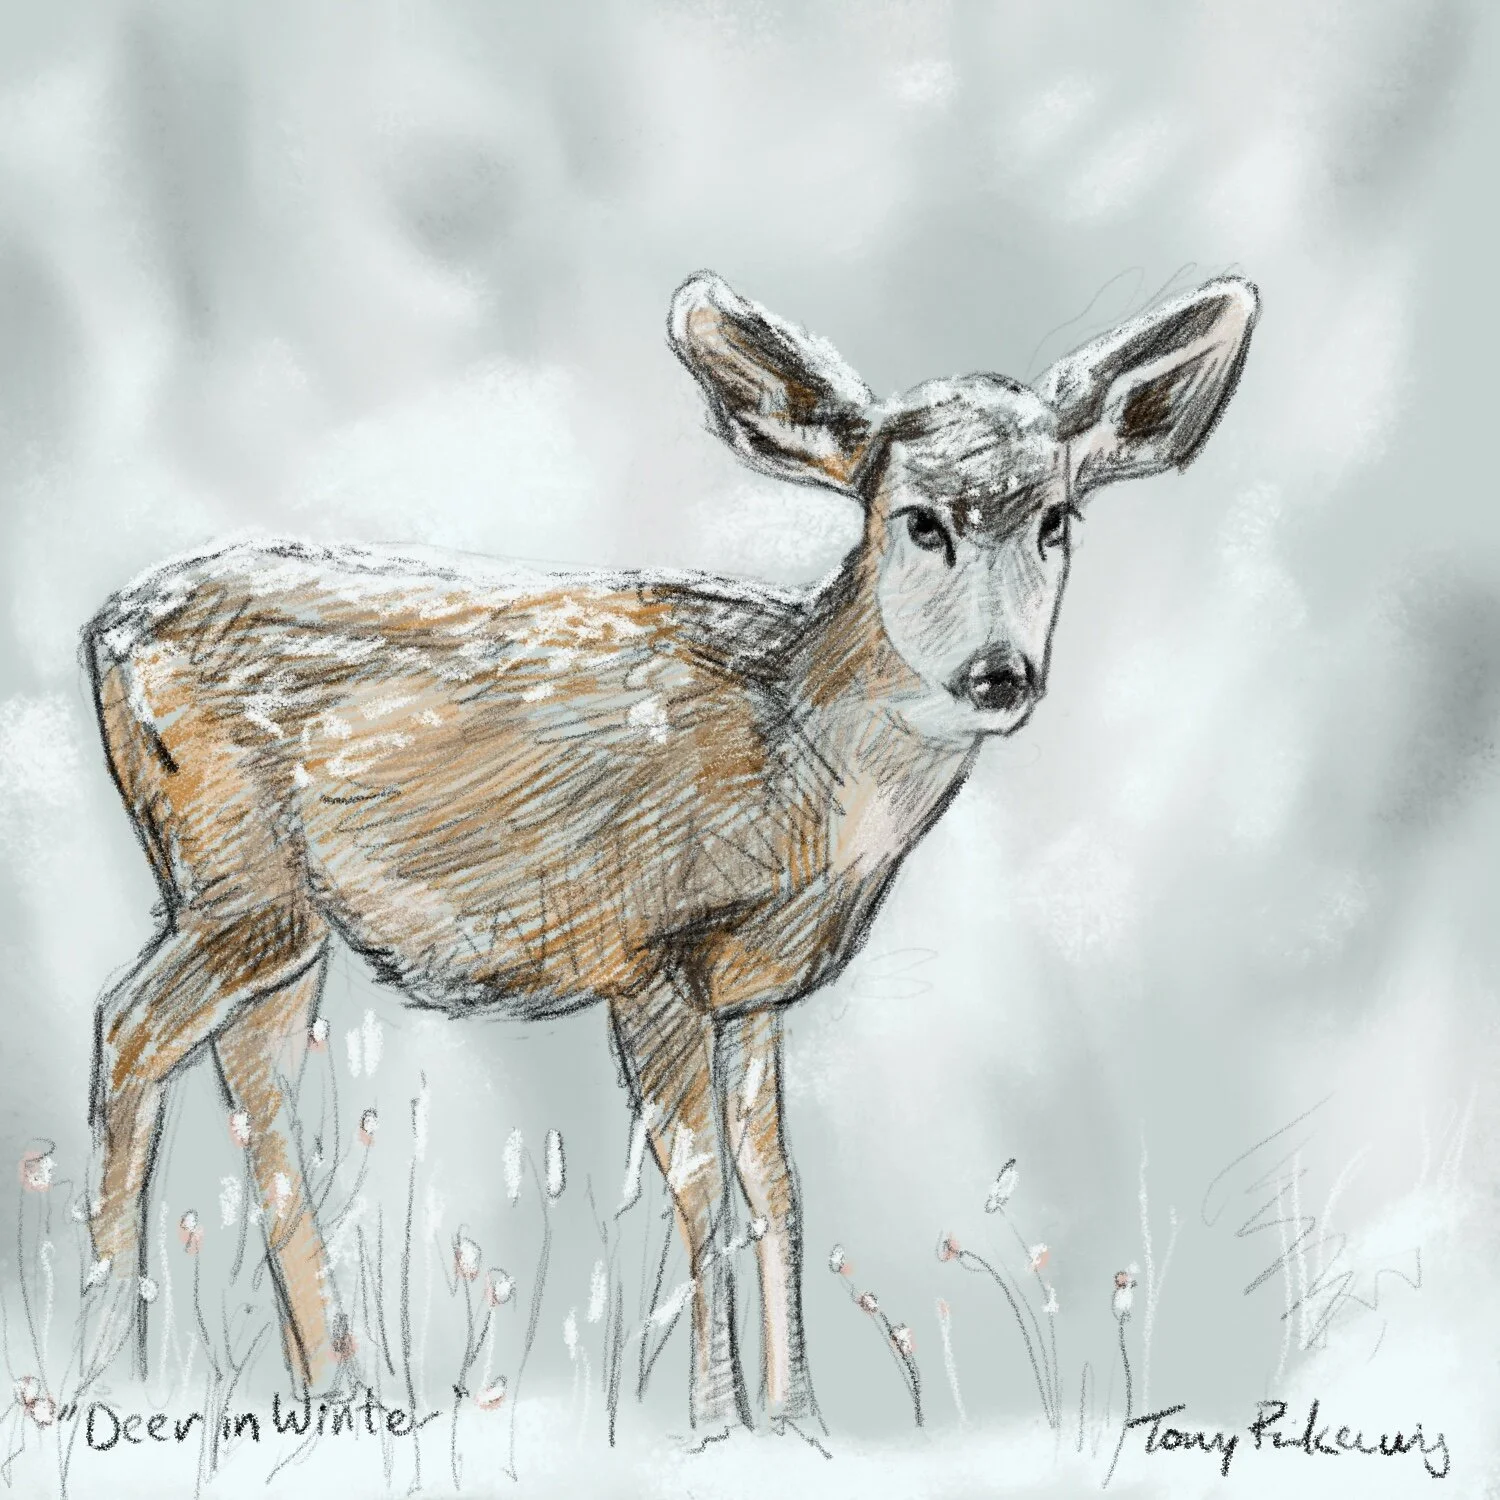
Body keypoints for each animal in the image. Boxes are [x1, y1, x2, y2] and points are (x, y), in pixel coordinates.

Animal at [82, 268, 1258, 1436]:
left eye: (1057, 519)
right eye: (920, 522)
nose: (1001, 673)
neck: (799, 767)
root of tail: (106, 630)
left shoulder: (753, 990)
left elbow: (777, 1184)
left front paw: (799, 1419)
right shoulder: (649, 946)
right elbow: (701, 1184)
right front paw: (714, 1419)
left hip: (282, 918)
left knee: (255, 1078)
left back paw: (335, 1385)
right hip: (236, 874)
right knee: (130, 1026)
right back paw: (112, 1368)